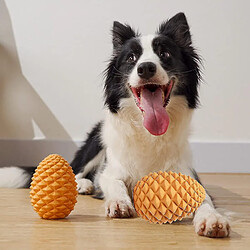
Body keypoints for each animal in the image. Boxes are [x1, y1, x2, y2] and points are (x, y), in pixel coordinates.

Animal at [0, 12, 230, 237]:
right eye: (131, 58)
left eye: (165, 54)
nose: (146, 68)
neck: (148, 134)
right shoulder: (111, 169)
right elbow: (114, 182)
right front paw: (119, 202)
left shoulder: (187, 174)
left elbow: (204, 200)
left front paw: (212, 219)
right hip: (95, 142)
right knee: (77, 171)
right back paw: (83, 184)